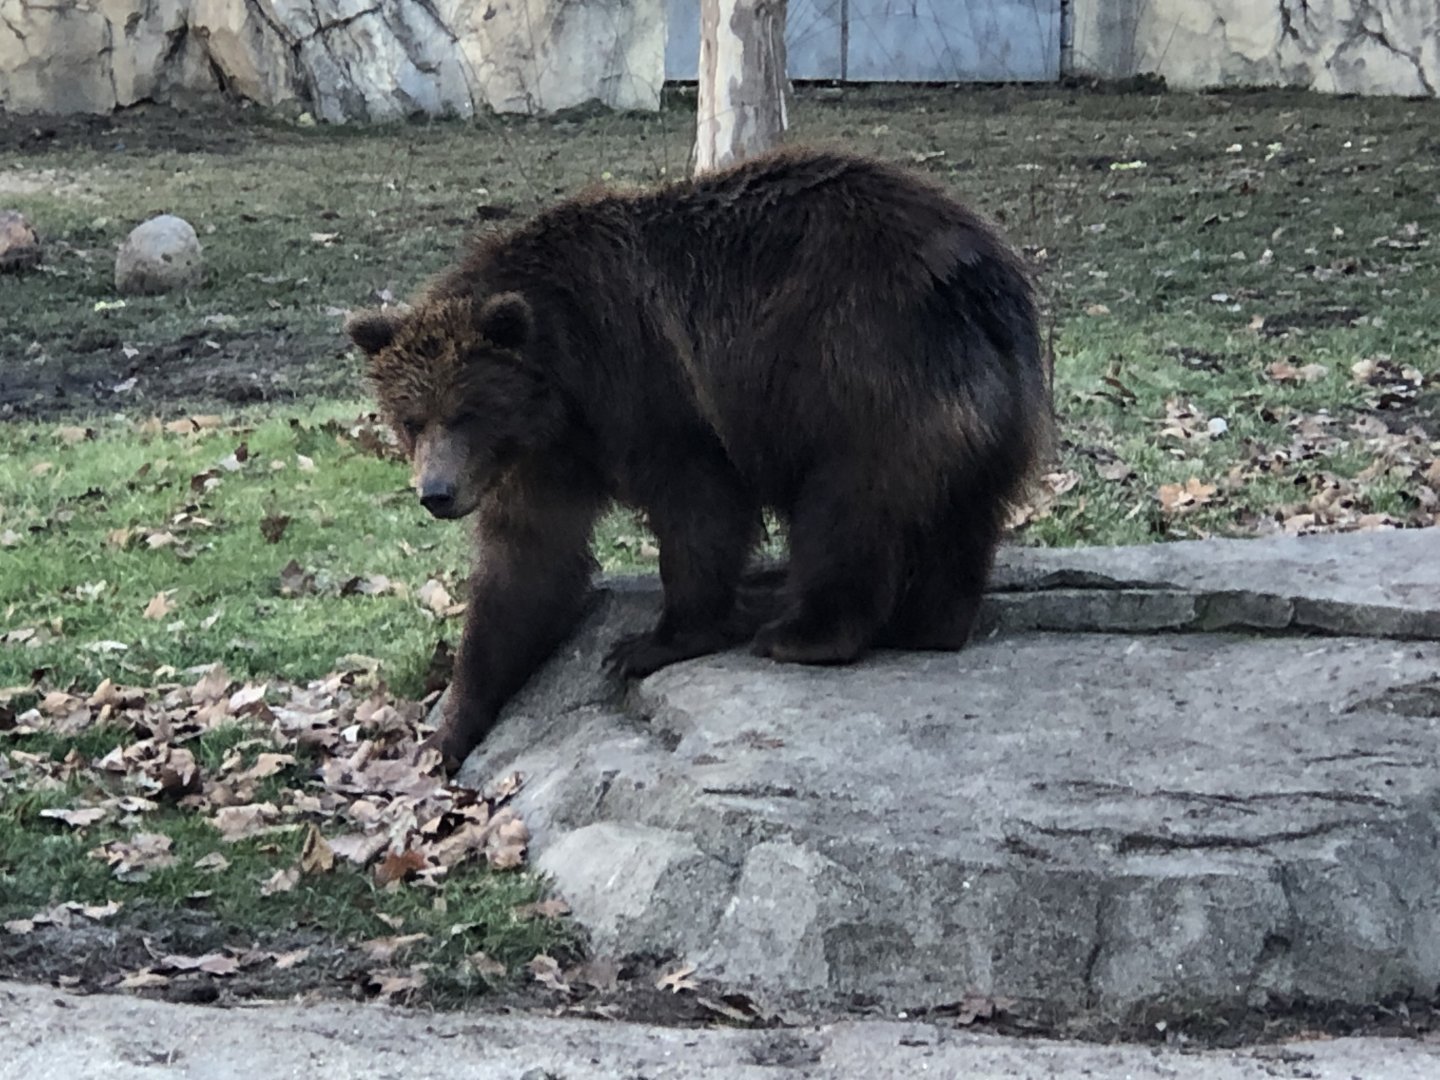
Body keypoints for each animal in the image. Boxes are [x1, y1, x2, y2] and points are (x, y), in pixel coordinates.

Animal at [347, 147, 1052, 773]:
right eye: (410, 419)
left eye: (468, 412)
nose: (436, 493)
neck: (559, 395)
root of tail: (977, 275)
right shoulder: (542, 463)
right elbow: (524, 568)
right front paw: (450, 731)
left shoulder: (643, 384)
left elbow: (696, 505)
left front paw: (651, 642)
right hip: (983, 409)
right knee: (959, 515)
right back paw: (928, 622)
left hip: (856, 373)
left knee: (845, 510)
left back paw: (805, 634)